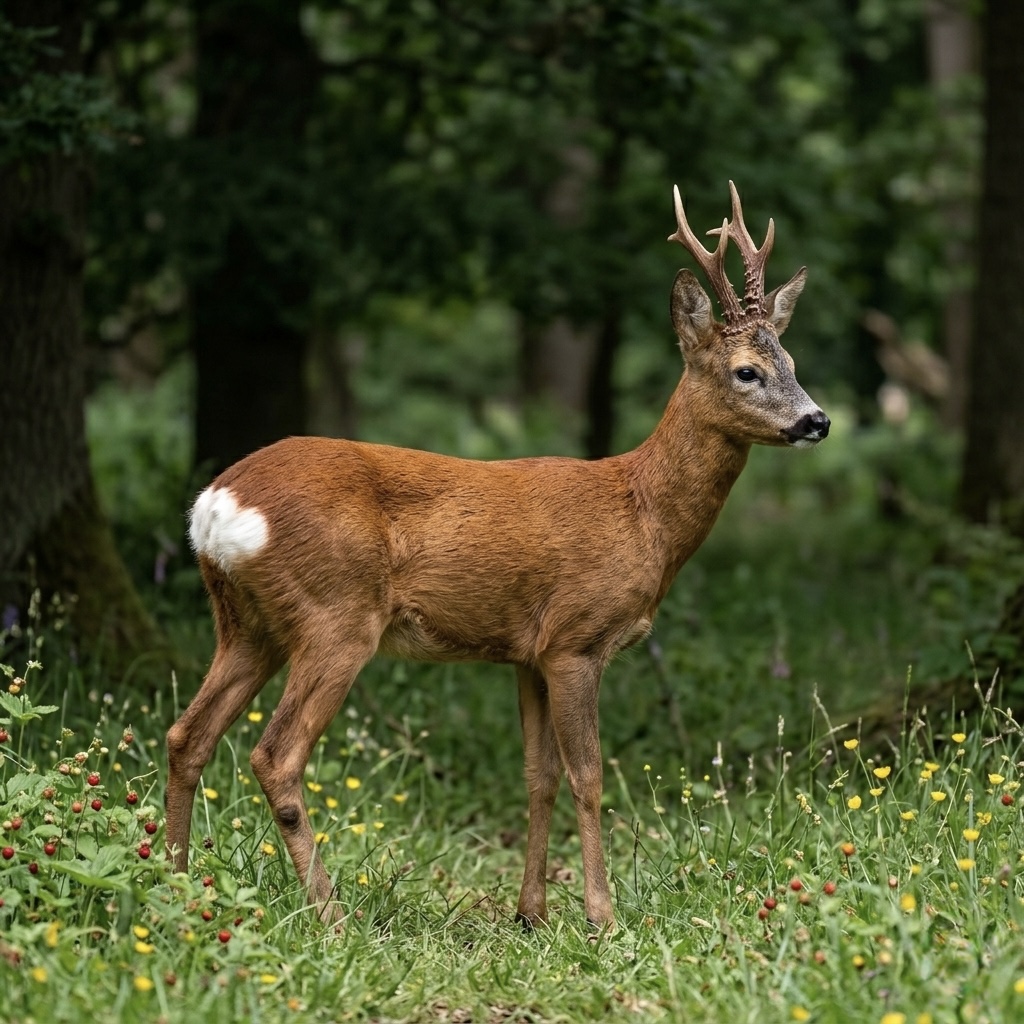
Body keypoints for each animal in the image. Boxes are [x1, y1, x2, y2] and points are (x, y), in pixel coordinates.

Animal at [167, 182, 829, 931]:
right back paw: (331, 914)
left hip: (247, 624)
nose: (817, 420)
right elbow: (589, 776)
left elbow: (538, 777)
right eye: (748, 372)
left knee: (187, 736)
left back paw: (176, 882)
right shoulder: (575, 639)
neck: (642, 514)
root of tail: (215, 505)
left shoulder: (526, 653)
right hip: (335, 616)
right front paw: (602, 916)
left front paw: (531, 912)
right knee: (275, 754)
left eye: (793, 366)